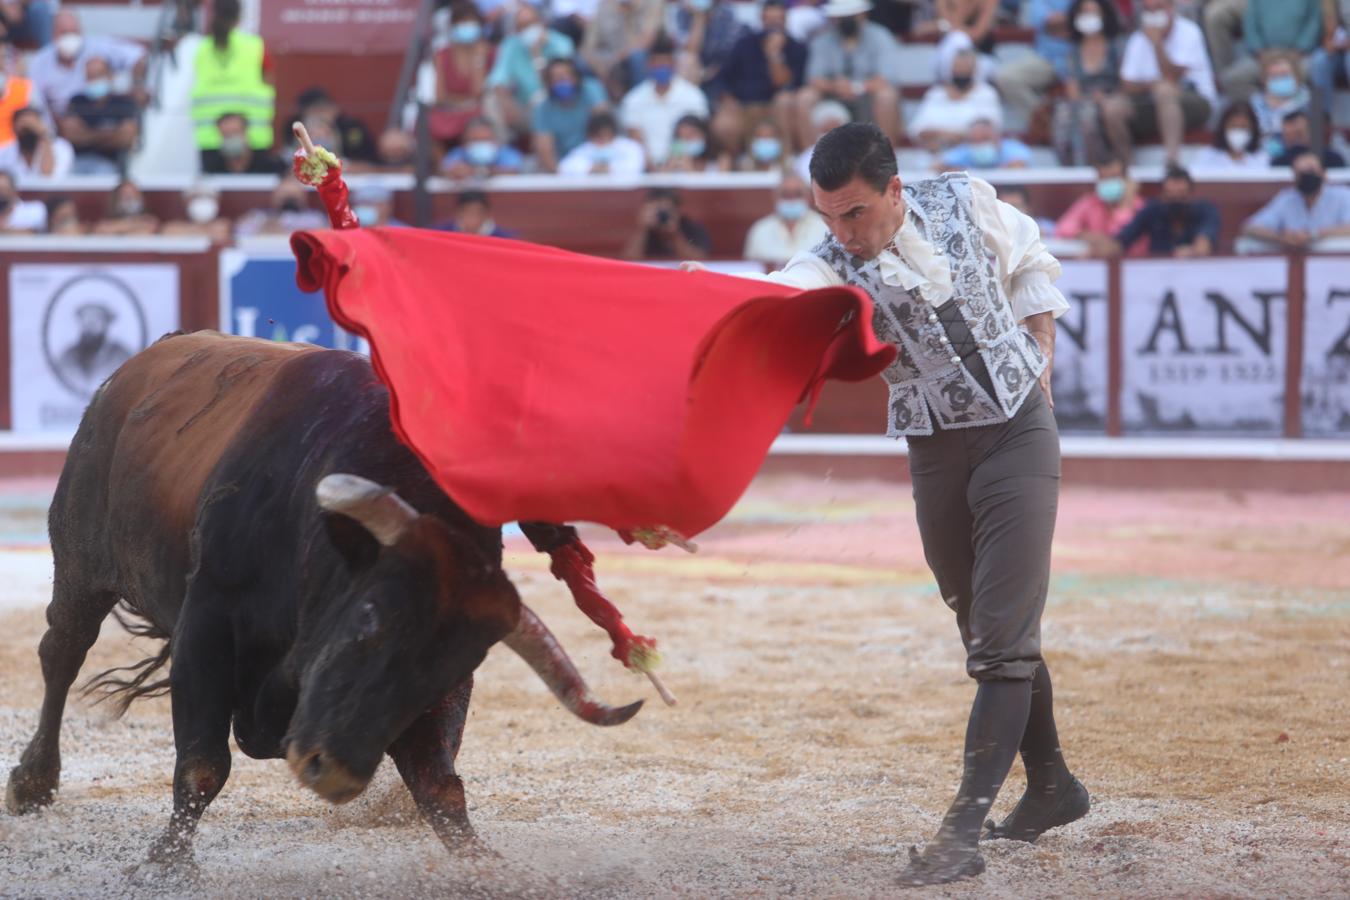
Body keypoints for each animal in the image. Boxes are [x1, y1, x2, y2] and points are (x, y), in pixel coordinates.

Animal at [2, 333, 642, 874]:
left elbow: (439, 785)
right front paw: (165, 865)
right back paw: (32, 783)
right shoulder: (207, 627)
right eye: (367, 621)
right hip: (81, 565)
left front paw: (488, 867)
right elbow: (203, 765)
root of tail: (134, 370)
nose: (332, 772)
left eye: (457, 663)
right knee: (63, 653)